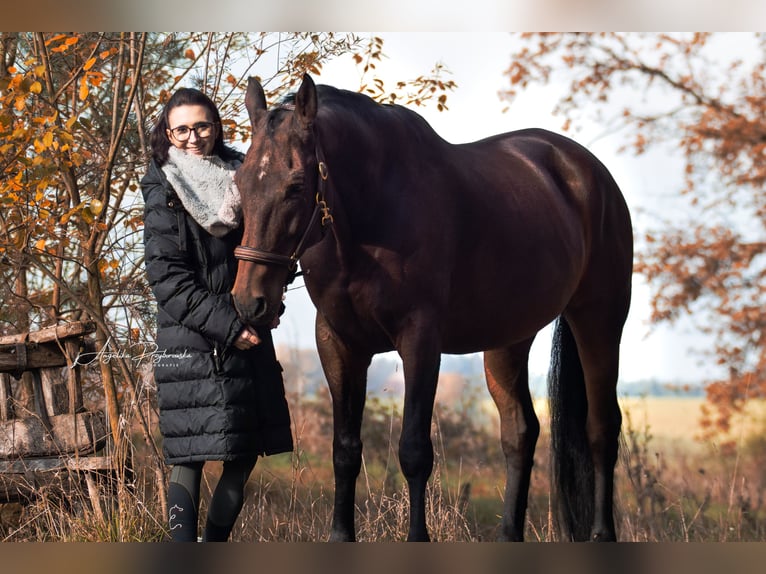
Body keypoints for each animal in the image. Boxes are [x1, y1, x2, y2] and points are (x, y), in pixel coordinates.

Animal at [234, 74, 636, 544]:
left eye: (297, 184)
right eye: (240, 180)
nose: (249, 301)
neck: (373, 213)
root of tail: (588, 171)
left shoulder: (420, 341)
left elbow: (414, 451)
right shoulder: (337, 342)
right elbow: (345, 450)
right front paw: (340, 536)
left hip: (599, 320)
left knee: (601, 429)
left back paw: (602, 534)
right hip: (509, 339)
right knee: (520, 432)